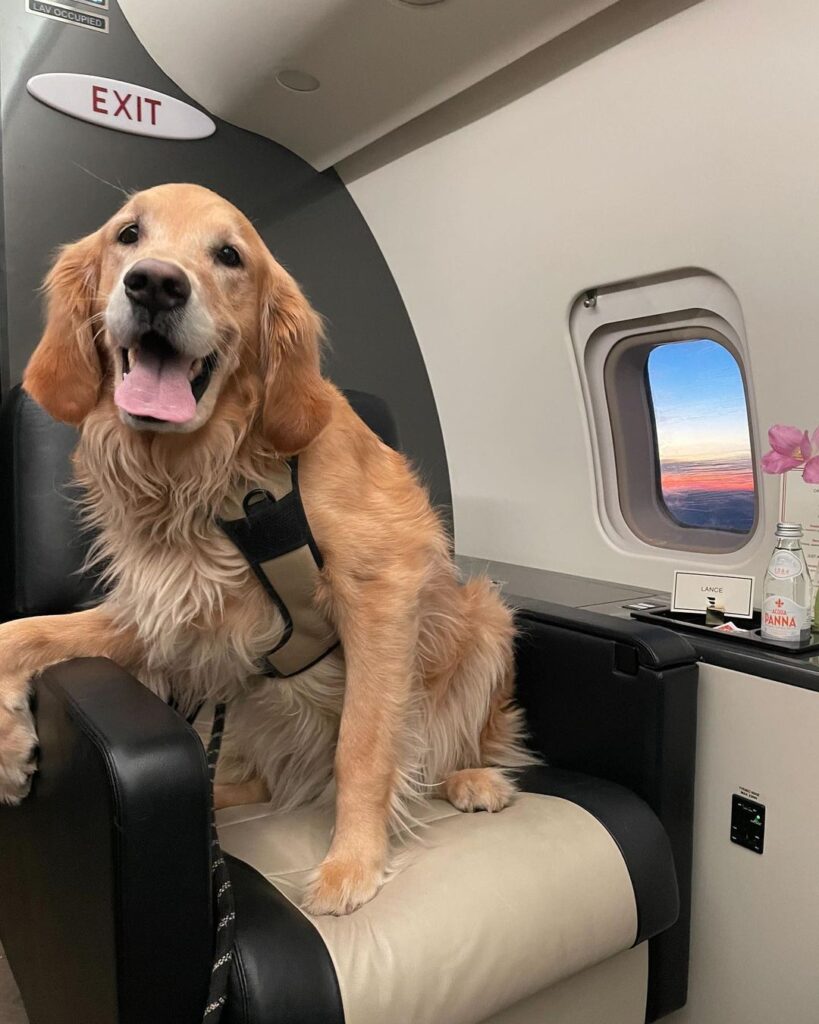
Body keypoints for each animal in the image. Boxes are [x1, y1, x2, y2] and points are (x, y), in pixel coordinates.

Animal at [0, 182, 532, 913]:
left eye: (229, 255)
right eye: (128, 235)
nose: (155, 284)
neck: (206, 477)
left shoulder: (382, 589)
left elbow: (364, 743)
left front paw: (352, 863)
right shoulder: (167, 613)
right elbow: (20, 632)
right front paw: (8, 751)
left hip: (484, 617)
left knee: (459, 744)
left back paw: (471, 779)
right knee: (258, 781)